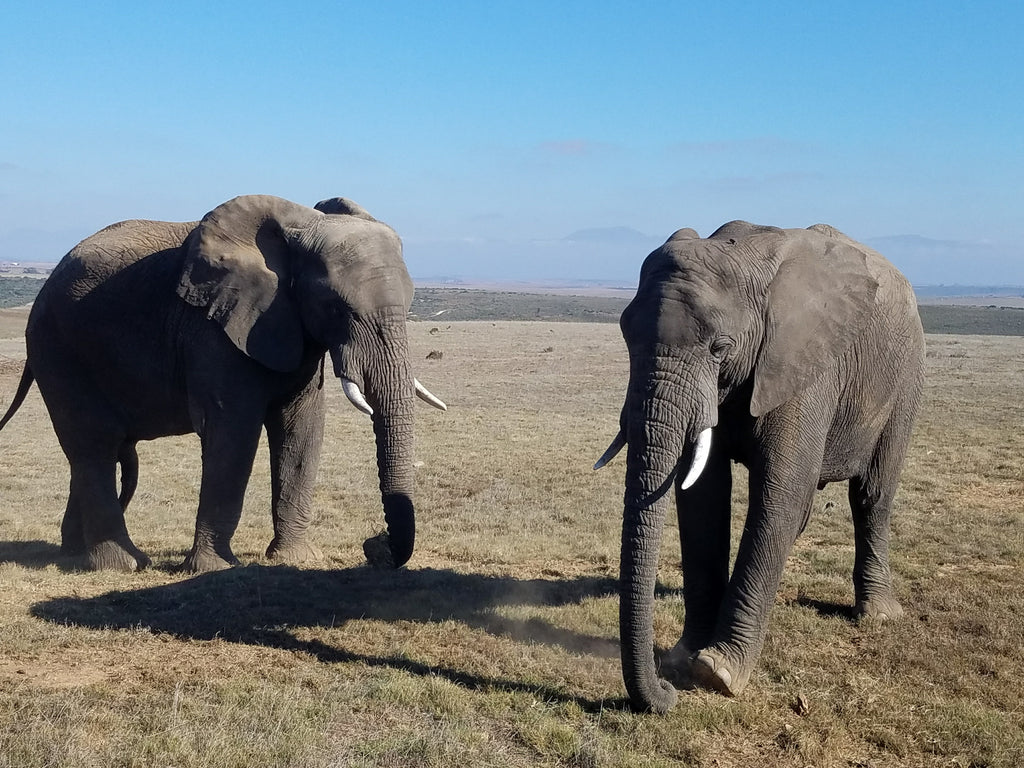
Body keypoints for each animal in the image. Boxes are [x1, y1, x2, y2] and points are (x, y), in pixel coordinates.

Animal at [1, 195, 448, 573]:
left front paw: (296, 560)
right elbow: (233, 431)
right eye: (335, 307)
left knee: (93, 452)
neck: (302, 224)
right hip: (58, 349)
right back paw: (124, 565)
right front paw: (212, 569)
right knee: (95, 445)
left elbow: (302, 431)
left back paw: (74, 553)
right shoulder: (214, 329)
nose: (373, 546)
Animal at [598, 222, 925, 716]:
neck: (743, 258)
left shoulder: (804, 364)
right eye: (624, 335)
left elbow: (779, 494)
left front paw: (717, 673)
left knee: (872, 495)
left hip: (905, 376)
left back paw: (878, 614)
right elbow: (702, 498)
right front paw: (682, 658)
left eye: (720, 347)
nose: (666, 693)